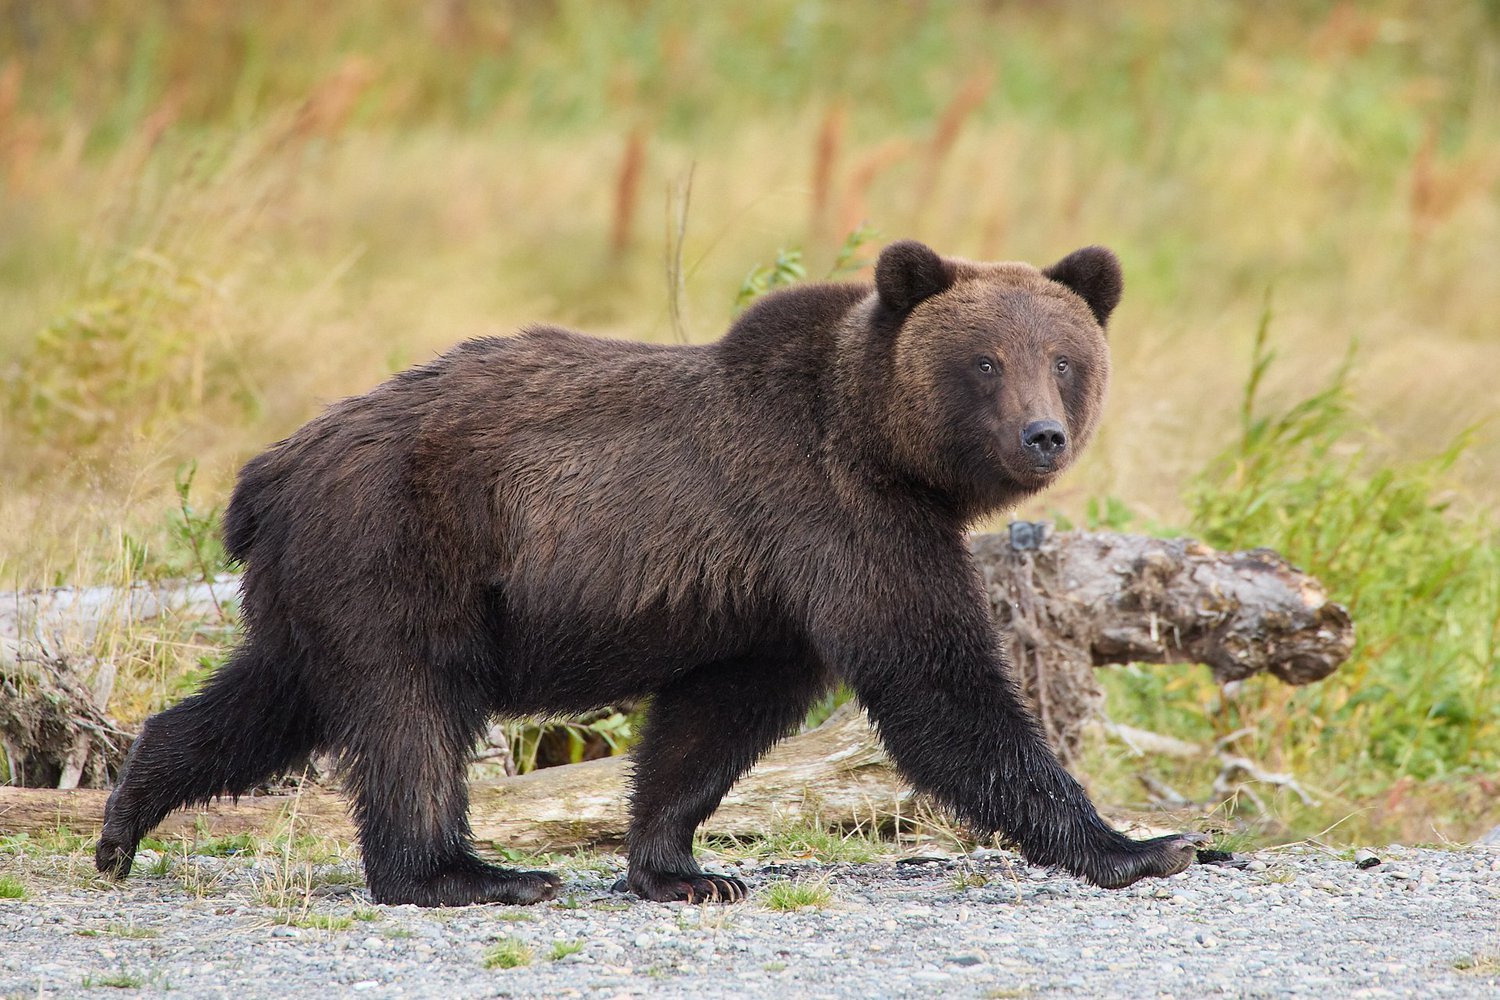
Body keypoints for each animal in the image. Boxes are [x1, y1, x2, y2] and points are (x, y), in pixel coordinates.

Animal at [96, 239, 1194, 905]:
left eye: (1064, 359)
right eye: (985, 361)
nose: (1043, 434)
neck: (887, 448)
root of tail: (267, 473)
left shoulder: (772, 594)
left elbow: (712, 721)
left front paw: (681, 867)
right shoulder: (838, 517)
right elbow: (938, 685)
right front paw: (1142, 844)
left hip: (318, 584)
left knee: (267, 696)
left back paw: (124, 817)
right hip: (398, 548)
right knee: (412, 711)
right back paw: (468, 870)